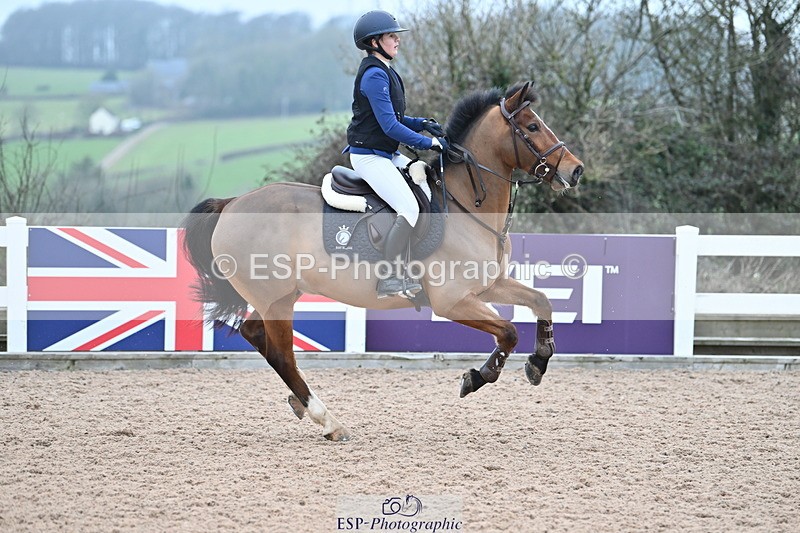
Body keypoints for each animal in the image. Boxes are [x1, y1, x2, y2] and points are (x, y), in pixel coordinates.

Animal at [182, 81, 584, 441]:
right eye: (532, 127)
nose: (575, 170)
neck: (467, 206)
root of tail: (232, 203)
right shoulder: (453, 301)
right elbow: (509, 332)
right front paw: (477, 377)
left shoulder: (489, 285)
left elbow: (541, 301)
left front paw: (539, 361)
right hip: (275, 298)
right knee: (281, 355)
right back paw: (327, 421)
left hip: (280, 296)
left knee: (257, 335)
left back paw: (300, 403)